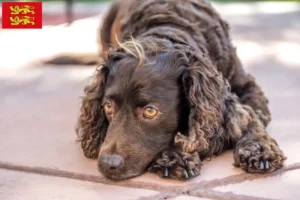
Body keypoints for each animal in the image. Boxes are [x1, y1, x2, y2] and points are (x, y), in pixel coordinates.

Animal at [51, 0, 286, 180]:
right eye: (108, 107)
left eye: (150, 111)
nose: (109, 163)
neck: (169, 27)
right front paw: (175, 156)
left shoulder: (247, 88)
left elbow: (251, 117)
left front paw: (259, 149)